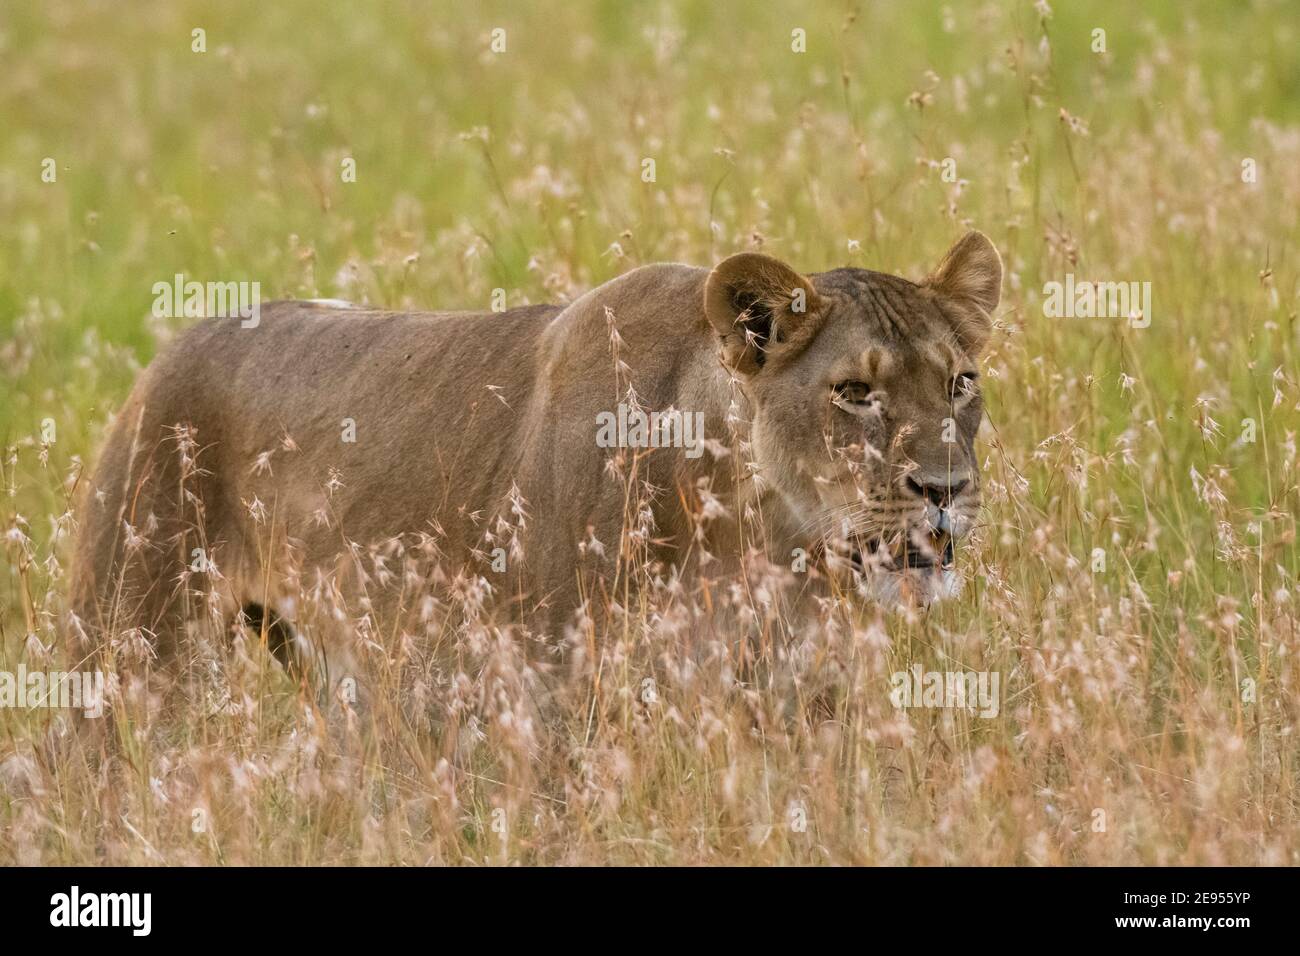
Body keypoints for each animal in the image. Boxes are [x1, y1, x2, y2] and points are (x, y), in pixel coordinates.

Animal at [68, 231, 1001, 677]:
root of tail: (173, 347)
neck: (764, 540)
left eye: (961, 382)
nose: (946, 487)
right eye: (854, 392)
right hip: (130, 648)